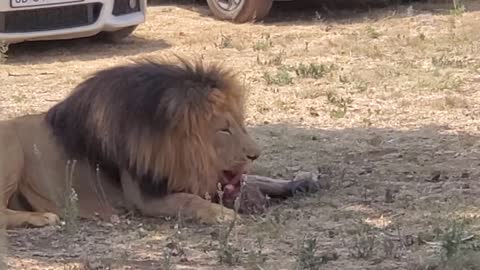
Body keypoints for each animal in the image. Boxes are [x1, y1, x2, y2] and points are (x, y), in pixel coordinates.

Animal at [0, 57, 322, 228]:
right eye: (223, 130)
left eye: (241, 125)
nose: (256, 154)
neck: (181, 151)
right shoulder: (145, 196)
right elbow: (190, 200)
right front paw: (223, 214)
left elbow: (258, 180)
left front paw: (302, 180)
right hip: (12, 148)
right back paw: (42, 217)